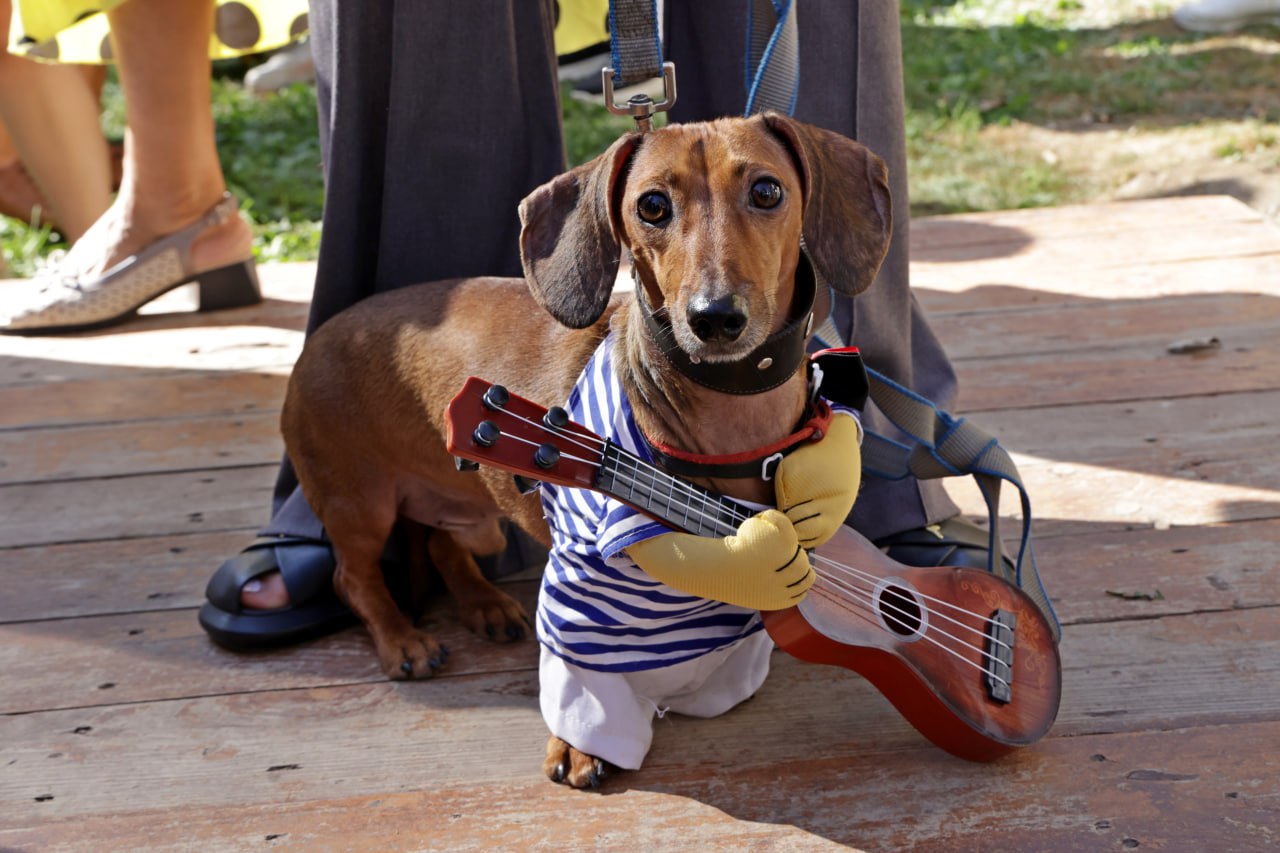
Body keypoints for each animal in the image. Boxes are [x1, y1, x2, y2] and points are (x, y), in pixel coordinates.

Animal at [280, 111, 890, 783]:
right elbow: (586, 676)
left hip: (464, 506)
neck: (731, 413)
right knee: (352, 578)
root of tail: (314, 341)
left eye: (766, 191)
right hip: (358, 505)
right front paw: (580, 746)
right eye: (652, 205)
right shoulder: (579, 581)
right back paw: (402, 639)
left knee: (441, 544)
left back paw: (484, 604)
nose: (714, 318)